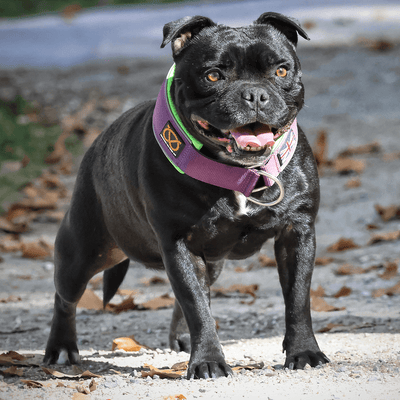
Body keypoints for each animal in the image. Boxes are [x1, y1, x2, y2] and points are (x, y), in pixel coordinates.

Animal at [44, 11, 328, 378]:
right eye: (213, 75)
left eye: (280, 71)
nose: (254, 94)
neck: (238, 172)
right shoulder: (178, 243)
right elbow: (196, 306)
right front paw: (208, 360)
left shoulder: (297, 233)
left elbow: (297, 299)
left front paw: (304, 352)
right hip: (84, 251)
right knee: (64, 296)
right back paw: (61, 347)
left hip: (207, 259)